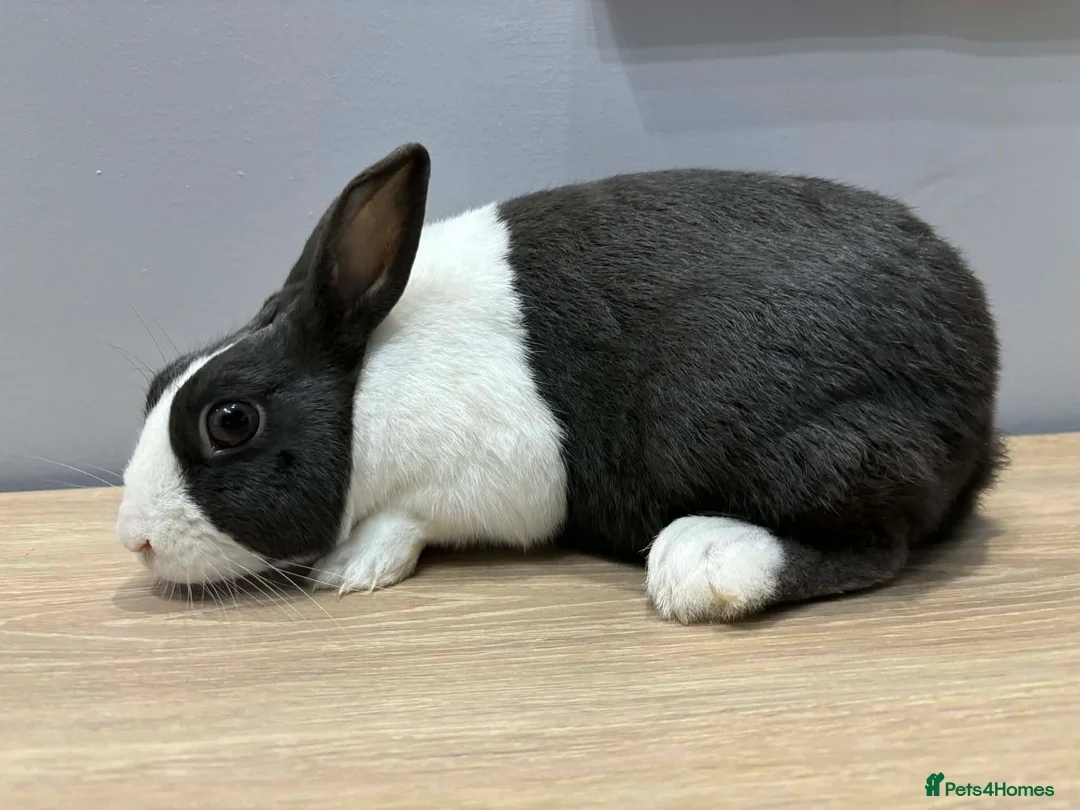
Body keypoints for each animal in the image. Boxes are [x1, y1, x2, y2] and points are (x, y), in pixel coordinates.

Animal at [116, 142, 1004, 622]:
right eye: (156, 384)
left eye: (231, 421)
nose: (135, 540)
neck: (365, 383)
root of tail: (978, 387)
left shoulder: (473, 482)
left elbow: (405, 522)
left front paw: (350, 569)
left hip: (821, 449)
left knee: (876, 546)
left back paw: (706, 561)